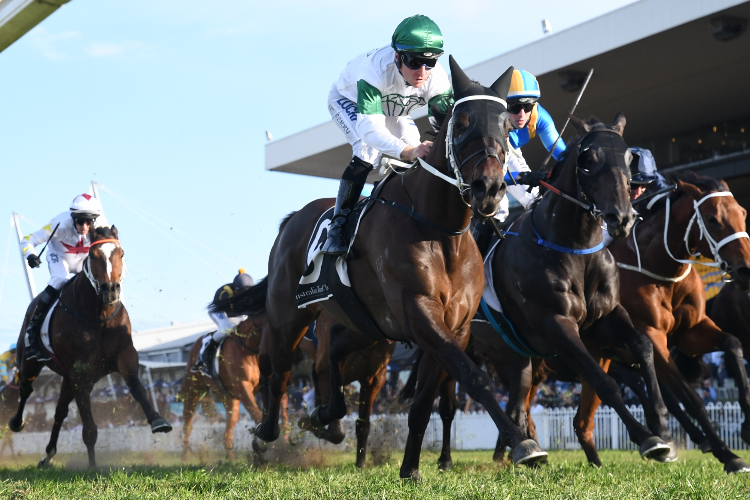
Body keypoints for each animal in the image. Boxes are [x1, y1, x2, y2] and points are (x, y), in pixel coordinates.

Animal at [9, 228, 172, 468]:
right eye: (94, 256)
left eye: (121, 253)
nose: (110, 290)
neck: (99, 317)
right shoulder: (80, 374)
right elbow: (88, 425)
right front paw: (93, 466)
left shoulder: (124, 355)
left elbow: (136, 386)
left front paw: (158, 420)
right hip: (29, 362)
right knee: (26, 389)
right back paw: (17, 422)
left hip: (66, 378)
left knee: (59, 412)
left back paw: (48, 454)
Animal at [296, 312, 396, 468]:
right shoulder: (328, 366)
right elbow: (336, 429)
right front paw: (310, 422)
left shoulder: (374, 378)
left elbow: (362, 424)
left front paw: (360, 463)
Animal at [572, 172, 750, 472]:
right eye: (712, 218)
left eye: (743, 213)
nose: (745, 269)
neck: (659, 267)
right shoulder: (653, 336)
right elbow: (691, 398)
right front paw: (728, 454)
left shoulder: (690, 330)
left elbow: (733, 343)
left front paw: (744, 424)